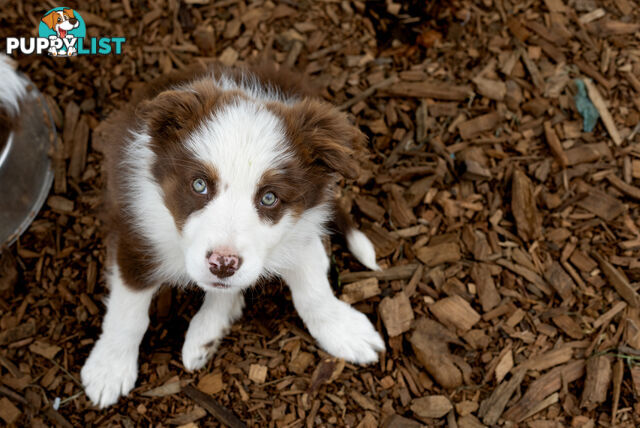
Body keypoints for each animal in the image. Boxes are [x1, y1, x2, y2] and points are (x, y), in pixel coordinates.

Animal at [79, 62, 380, 408]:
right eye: (199, 185)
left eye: (269, 197)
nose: (223, 264)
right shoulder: (138, 234)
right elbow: (127, 311)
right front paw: (109, 368)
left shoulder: (298, 231)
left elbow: (313, 290)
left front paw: (343, 329)